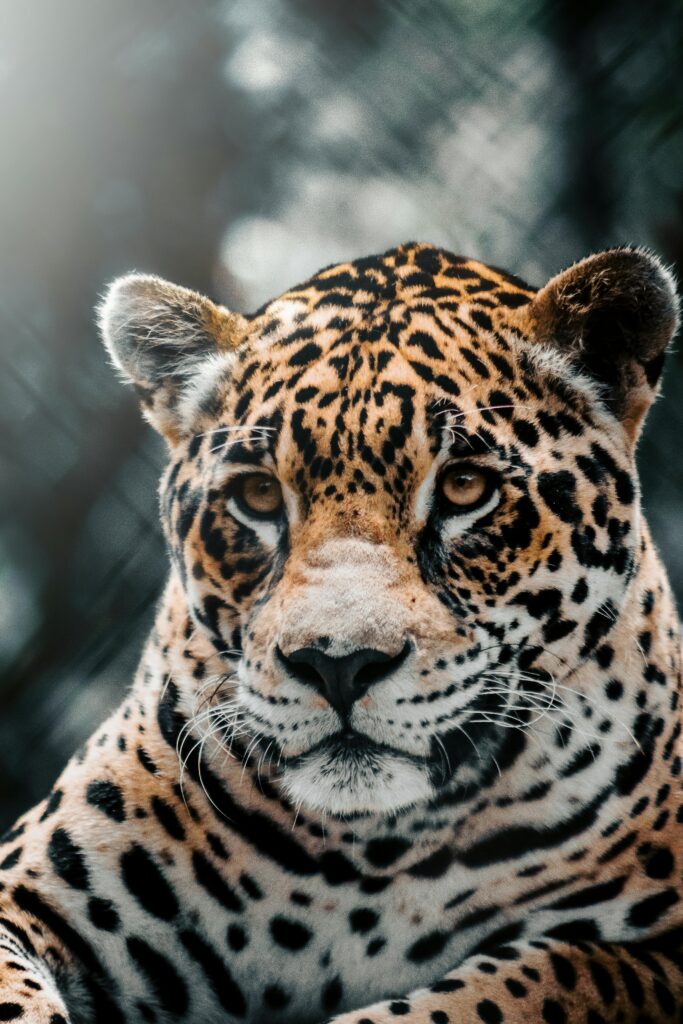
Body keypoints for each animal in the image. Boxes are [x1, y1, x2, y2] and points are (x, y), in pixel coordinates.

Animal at [0, 241, 681, 1024]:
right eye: (258, 494)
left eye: (465, 488)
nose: (336, 665)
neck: (370, 854)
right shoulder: (28, 890)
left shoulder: (650, 954)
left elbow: (515, 984)